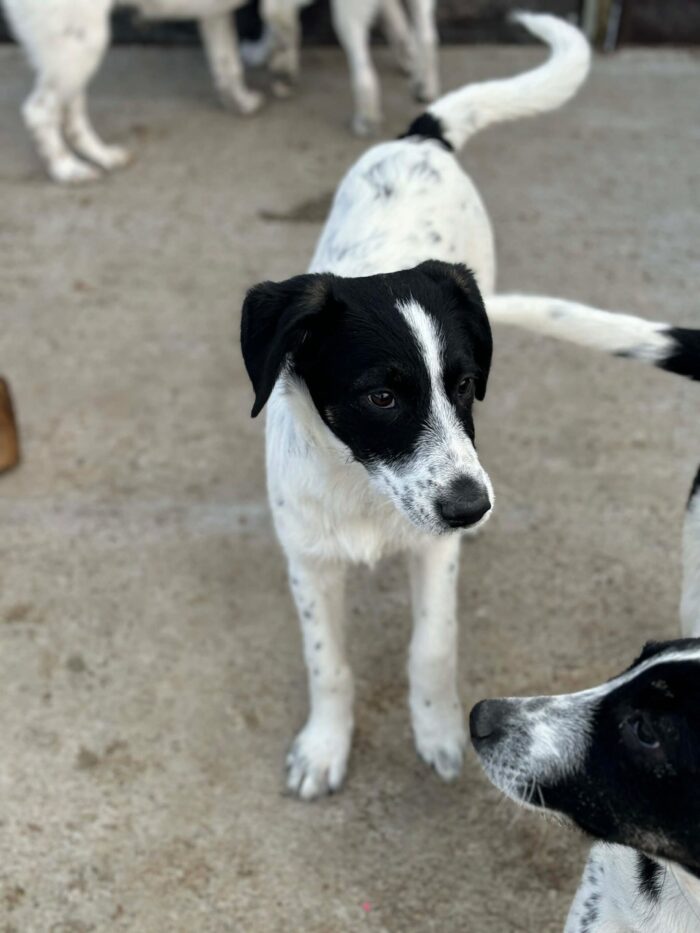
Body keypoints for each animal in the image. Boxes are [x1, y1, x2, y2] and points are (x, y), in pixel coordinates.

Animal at [3, 0, 263, 183]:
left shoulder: (215, 15)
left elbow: (228, 64)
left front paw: (240, 102)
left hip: (71, 52)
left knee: (70, 113)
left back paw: (102, 156)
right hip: (83, 42)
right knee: (38, 111)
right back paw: (66, 168)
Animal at [242, 0, 439, 135]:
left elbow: (274, 13)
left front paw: (278, 61)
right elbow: (395, 21)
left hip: (348, 15)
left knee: (364, 73)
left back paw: (366, 119)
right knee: (427, 37)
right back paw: (424, 87)